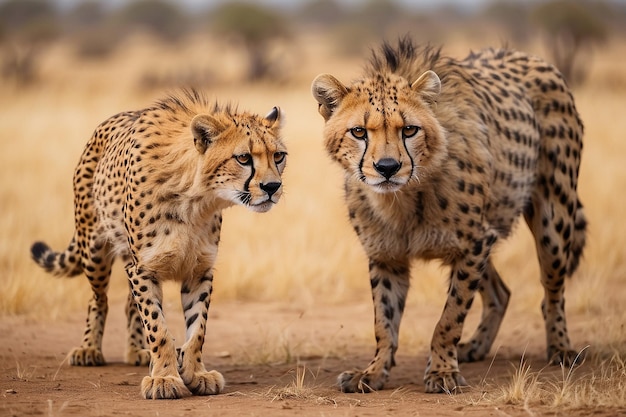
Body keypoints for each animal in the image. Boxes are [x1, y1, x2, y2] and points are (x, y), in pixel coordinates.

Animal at [31, 89, 288, 398]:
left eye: (278, 156)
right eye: (243, 158)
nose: (272, 187)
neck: (195, 198)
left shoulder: (198, 270)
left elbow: (197, 329)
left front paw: (195, 372)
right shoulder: (143, 268)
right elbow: (158, 327)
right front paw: (164, 378)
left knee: (129, 304)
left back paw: (138, 351)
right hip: (93, 250)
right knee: (98, 299)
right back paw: (89, 349)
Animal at [312, 37, 584, 392]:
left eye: (409, 130)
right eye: (359, 132)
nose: (387, 167)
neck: (402, 198)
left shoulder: (474, 244)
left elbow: (450, 316)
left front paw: (441, 371)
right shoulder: (387, 256)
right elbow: (384, 321)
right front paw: (372, 372)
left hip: (553, 219)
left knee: (552, 291)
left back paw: (561, 348)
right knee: (501, 292)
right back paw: (476, 347)